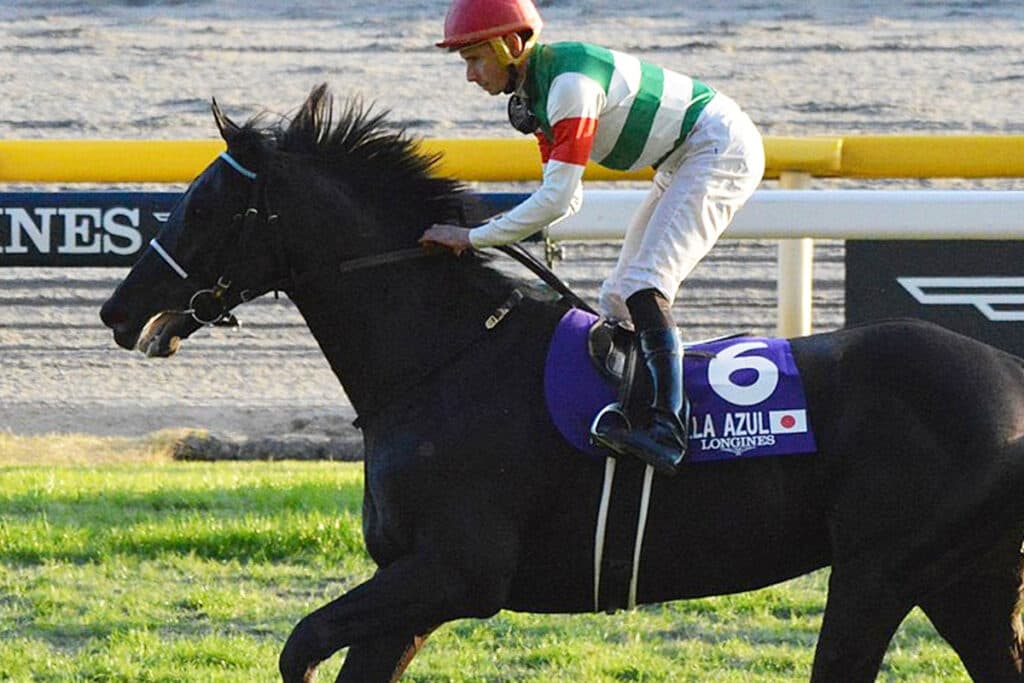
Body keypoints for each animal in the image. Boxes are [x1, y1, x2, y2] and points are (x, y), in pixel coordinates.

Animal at [100, 84, 1024, 682]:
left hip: (881, 571)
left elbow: (299, 643)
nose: (117, 308)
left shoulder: (457, 572)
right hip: (965, 580)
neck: (444, 359)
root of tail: (1008, 368)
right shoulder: (412, 588)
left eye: (203, 205)